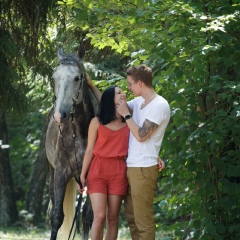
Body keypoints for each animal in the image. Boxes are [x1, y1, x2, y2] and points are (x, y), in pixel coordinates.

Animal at [45, 44, 95, 239]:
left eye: (77, 77)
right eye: (54, 77)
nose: (60, 115)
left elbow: (88, 217)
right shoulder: (60, 173)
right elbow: (57, 217)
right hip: (52, 174)